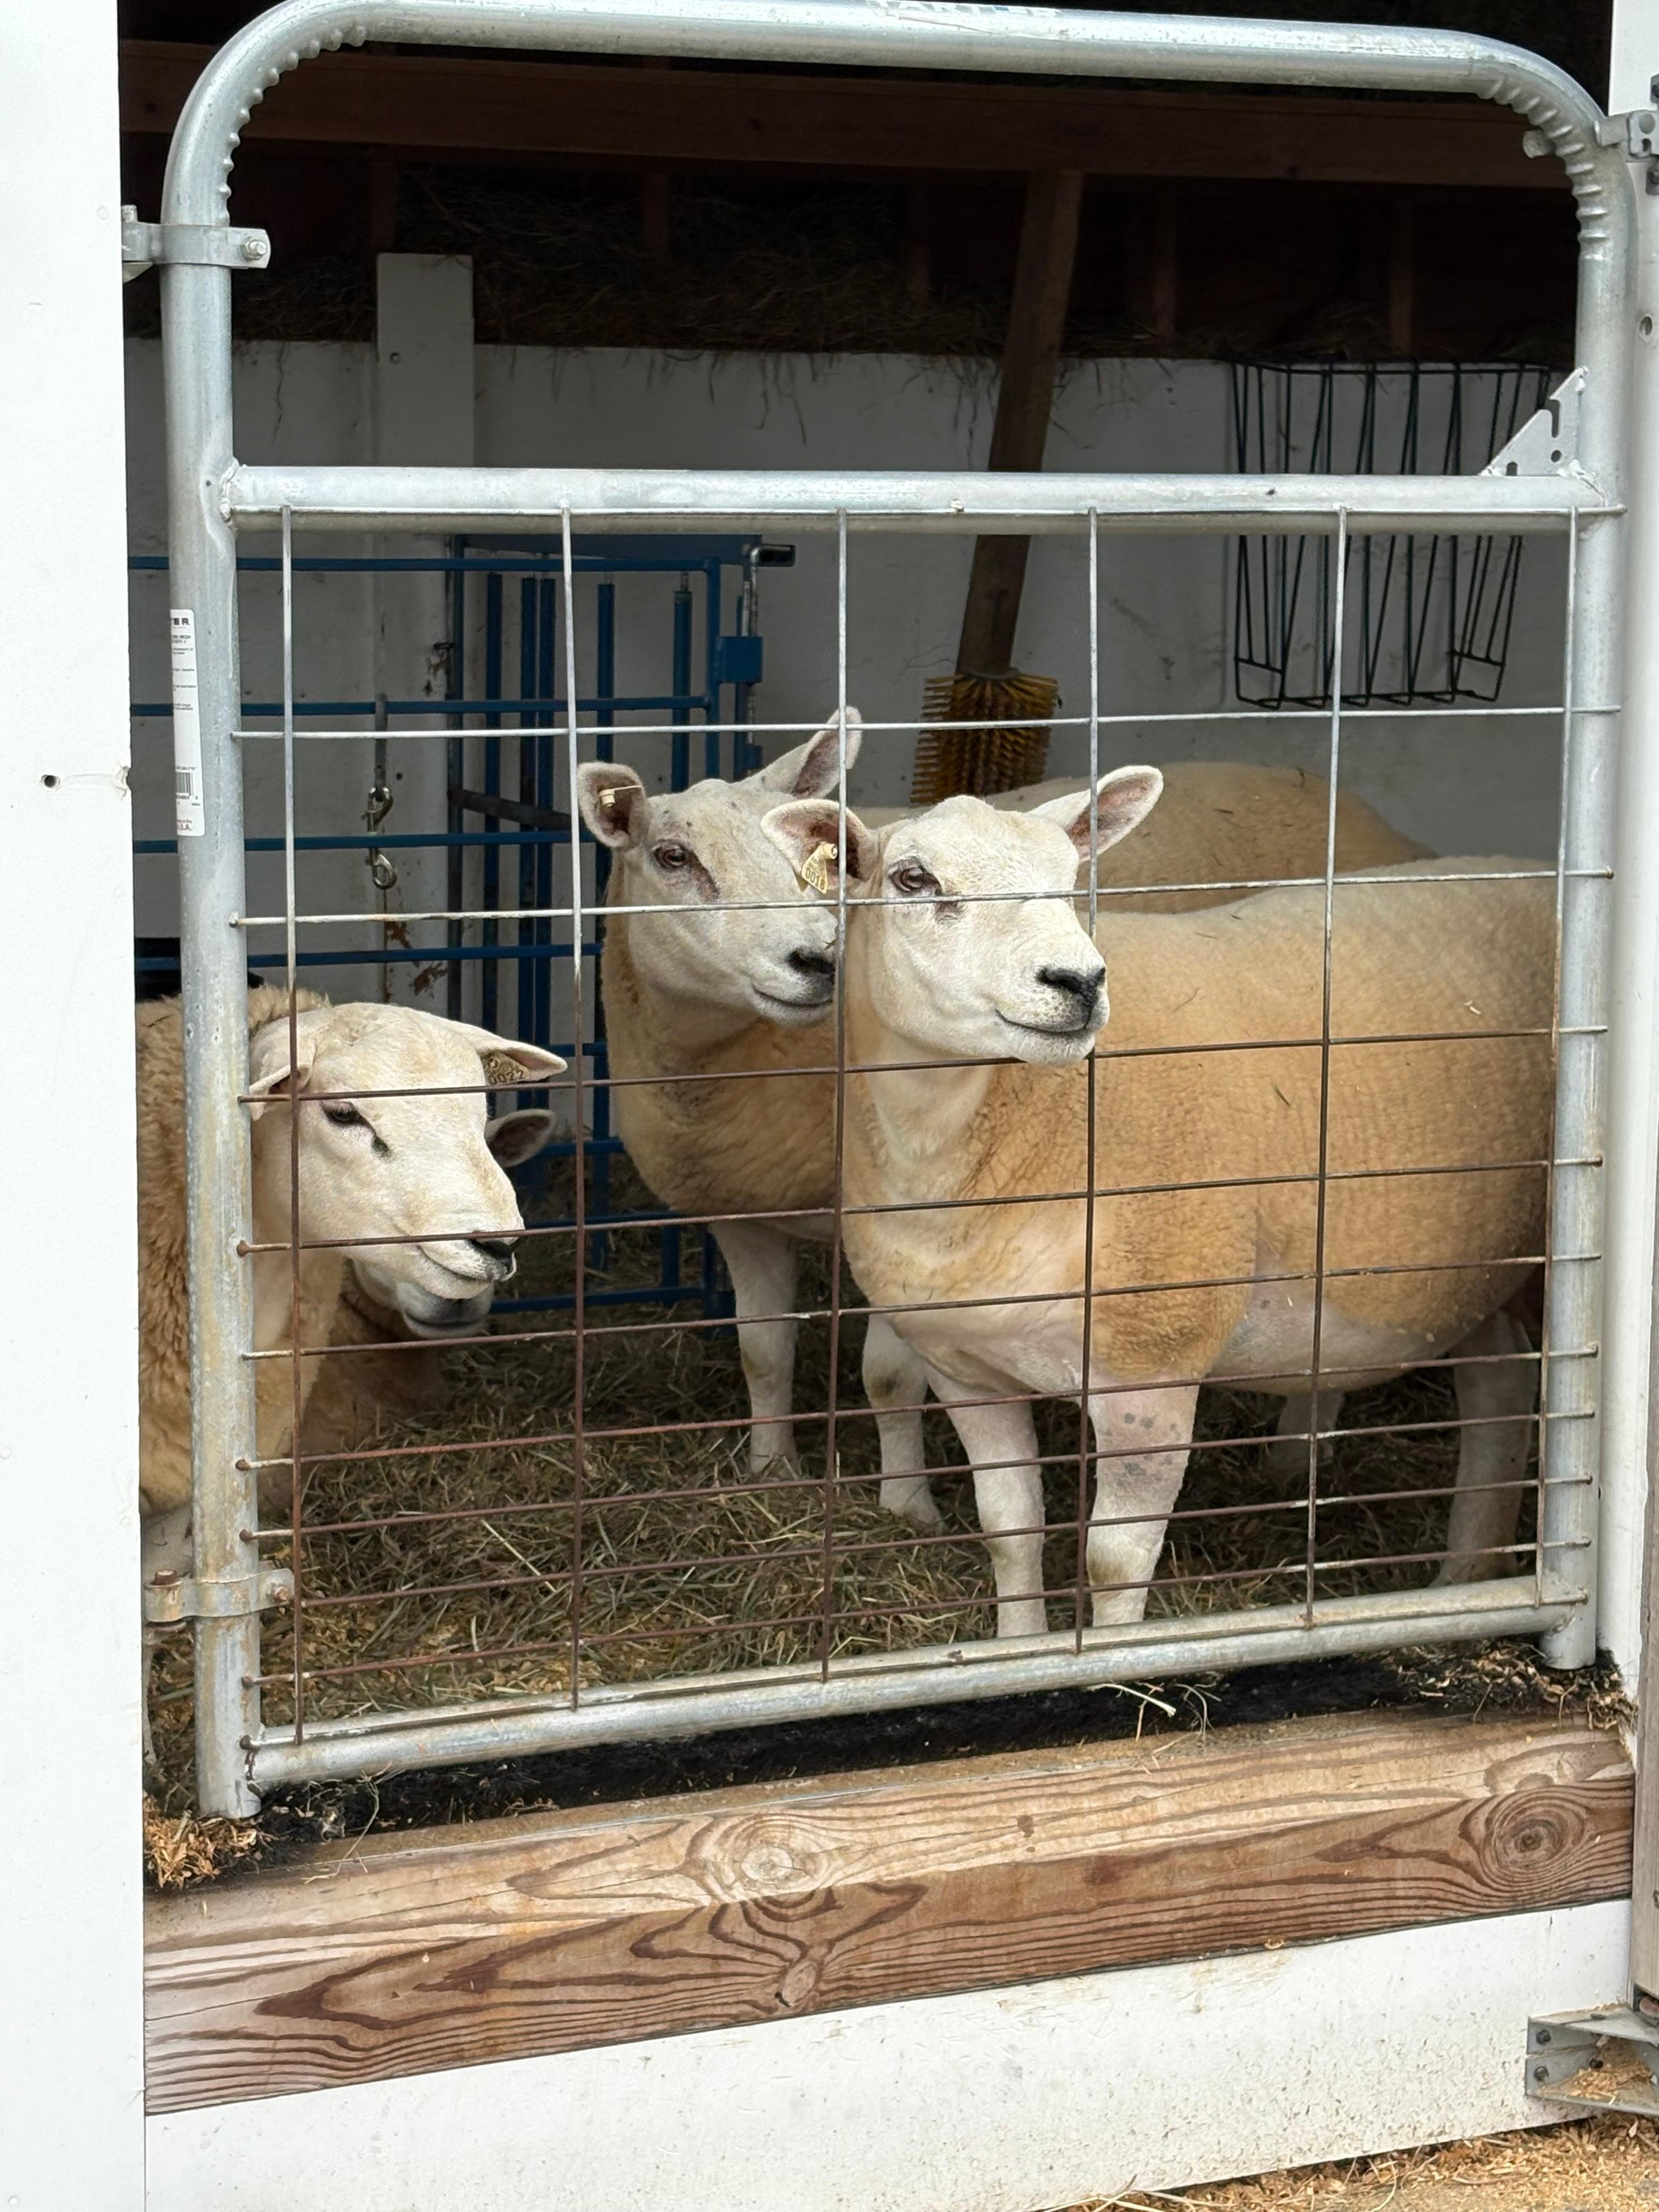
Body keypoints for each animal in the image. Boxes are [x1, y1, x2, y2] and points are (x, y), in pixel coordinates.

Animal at [576, 715, 1426, 1529]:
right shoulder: (743, 1213)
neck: (721, 1066)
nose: (815, 960)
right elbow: (763, 1353)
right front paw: (770, 1467)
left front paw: (906, 1505)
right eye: (673, 856)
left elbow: (888, 1376)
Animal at [760, 777, 1549, 1639]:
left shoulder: (1152, 1371)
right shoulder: (964, 1367)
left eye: (1072, 878)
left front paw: (1110, 1655)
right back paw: (1465, 1577)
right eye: (912, 879)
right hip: (1479, 1270)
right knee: (1503, 1396)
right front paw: (1019, 1648)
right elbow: (1009, 1528)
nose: (1078, 983)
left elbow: (1113, 1562)